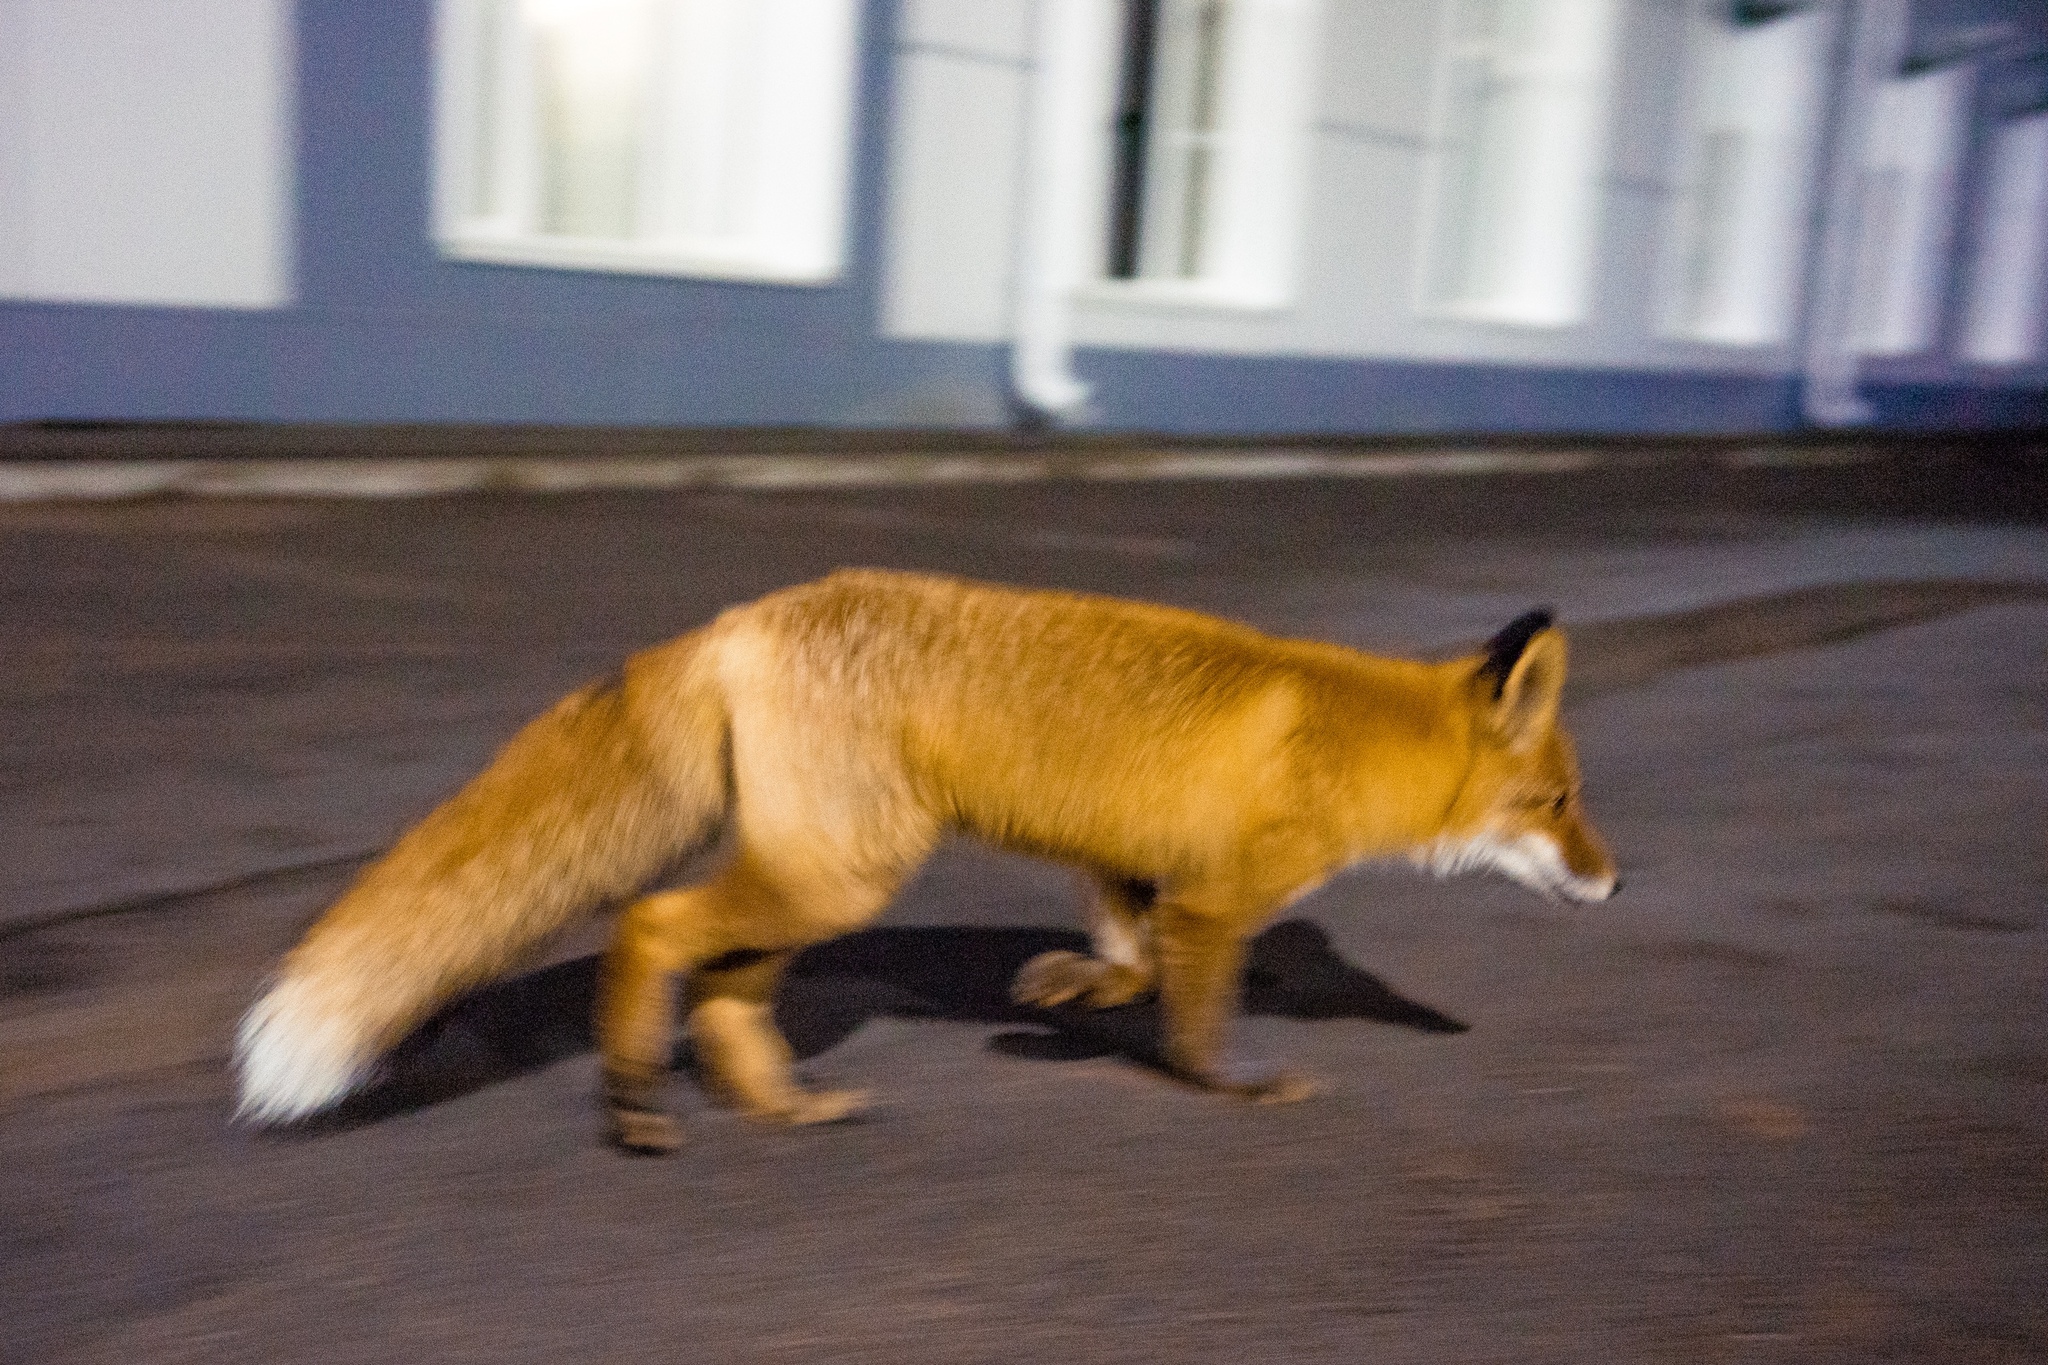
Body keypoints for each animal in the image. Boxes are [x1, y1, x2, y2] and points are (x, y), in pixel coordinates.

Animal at [235, 564, 1613, 1154]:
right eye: (1555, 802)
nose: (1612, 883)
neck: (1349, 737)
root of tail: (744, 615)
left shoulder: (1126, 866)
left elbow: (1126, 961)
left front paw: (1056, 1000)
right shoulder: (1217, 899)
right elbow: (1192, 1019)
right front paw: (1229, 1088)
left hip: (817, 887)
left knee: (721, 995)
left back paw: (776, 1107)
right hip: (836, 876)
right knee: (650, 927)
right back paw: (633, 1096)